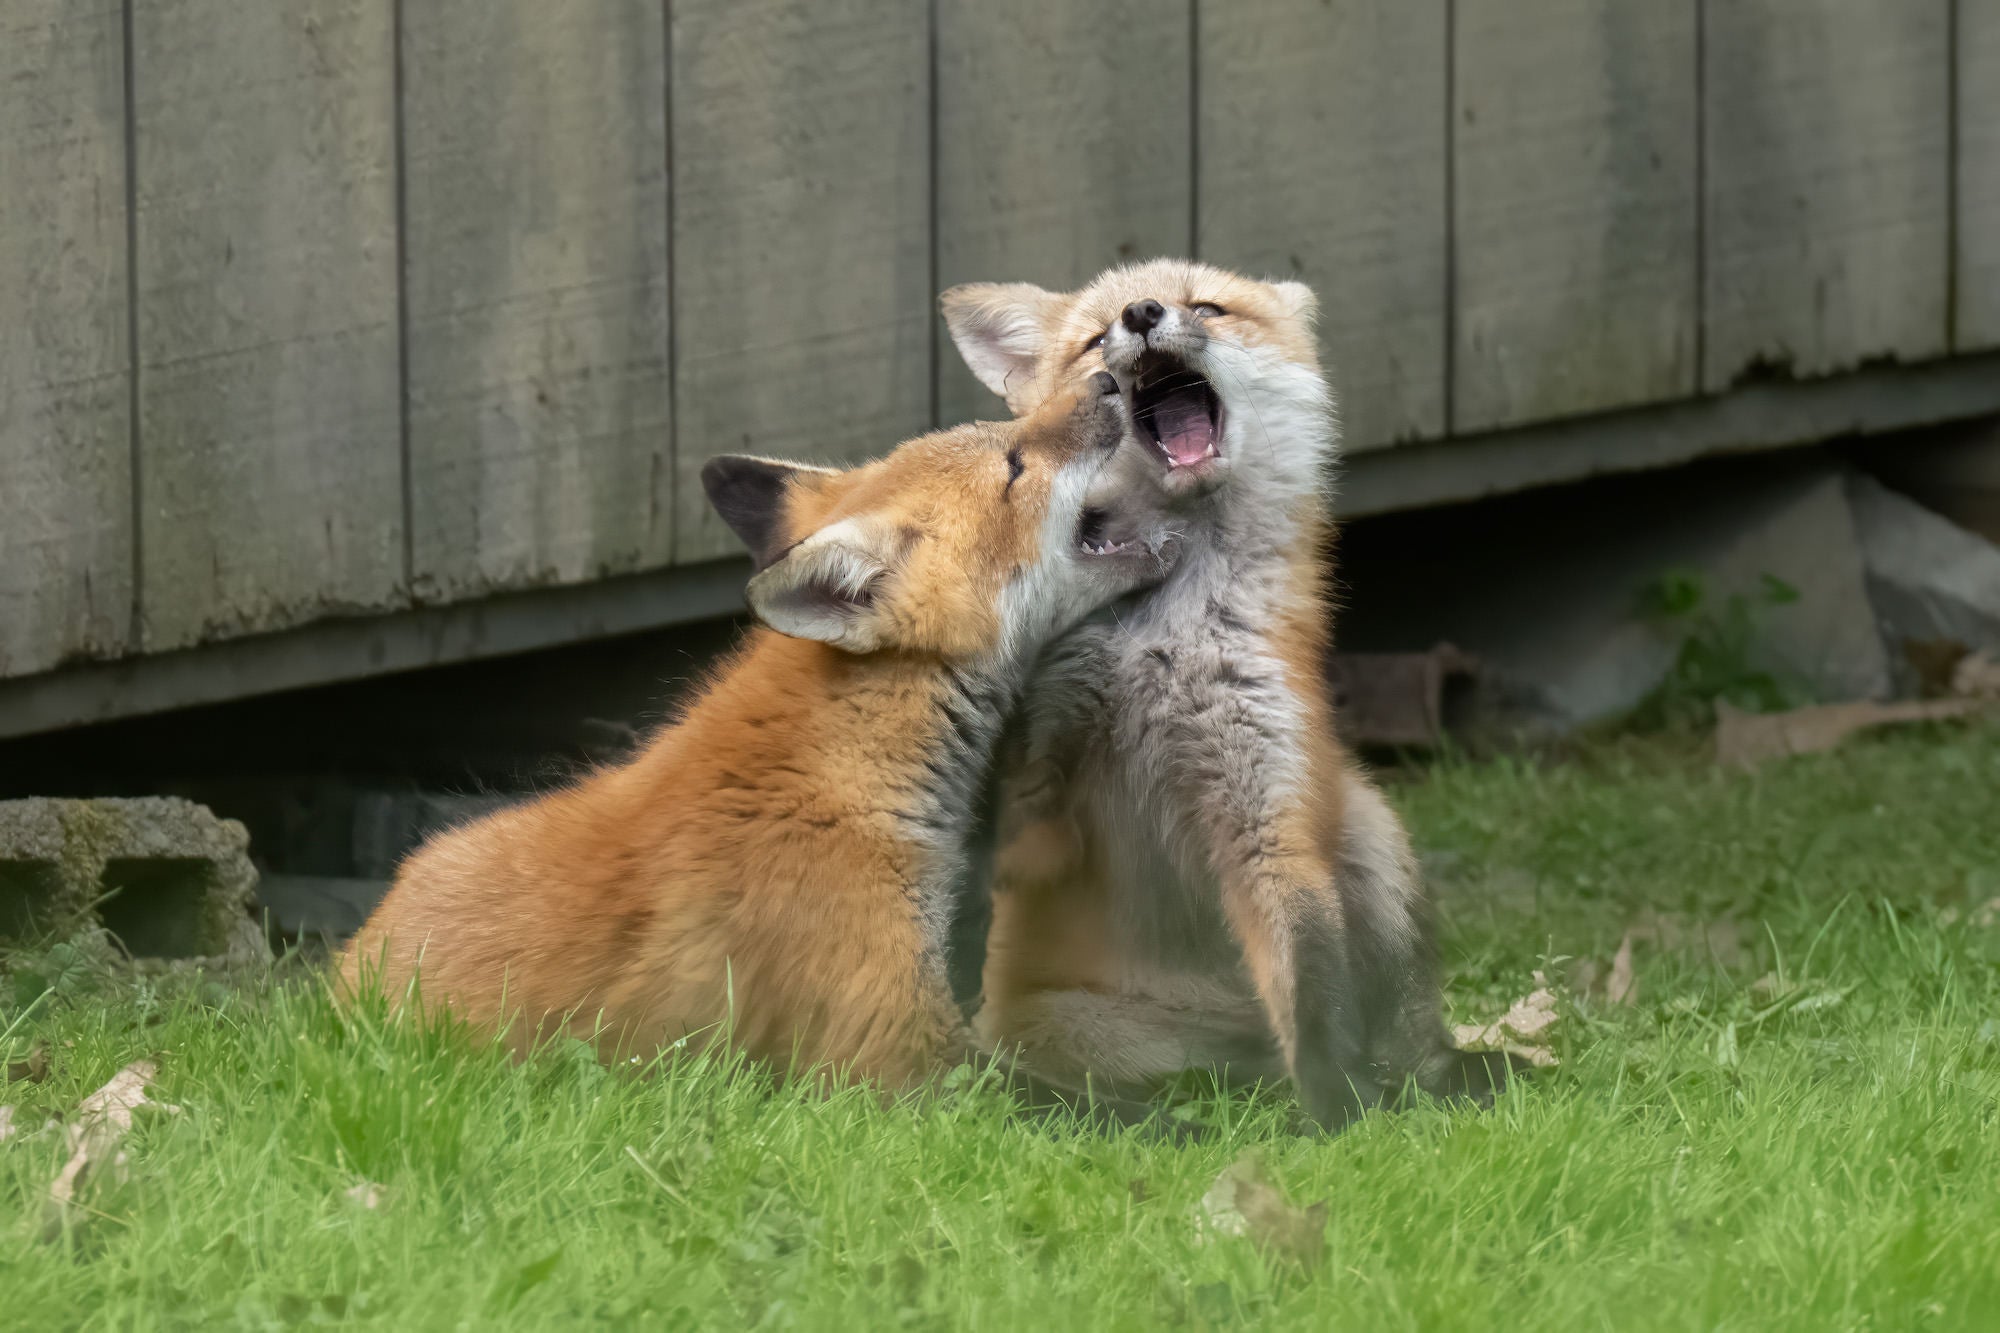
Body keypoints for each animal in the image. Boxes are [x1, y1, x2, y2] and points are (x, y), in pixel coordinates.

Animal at [941, 259, 1512, 1129]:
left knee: (1402, 1041)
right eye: (1094, 338)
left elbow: (1312, 990)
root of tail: (1225, 1045)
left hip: (1370, 829)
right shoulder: (1041, 758)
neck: (1162, 635)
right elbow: (997, 835)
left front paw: (1340, 1119)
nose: (1143, 314)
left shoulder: (1264, 805)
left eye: (1205, 307)